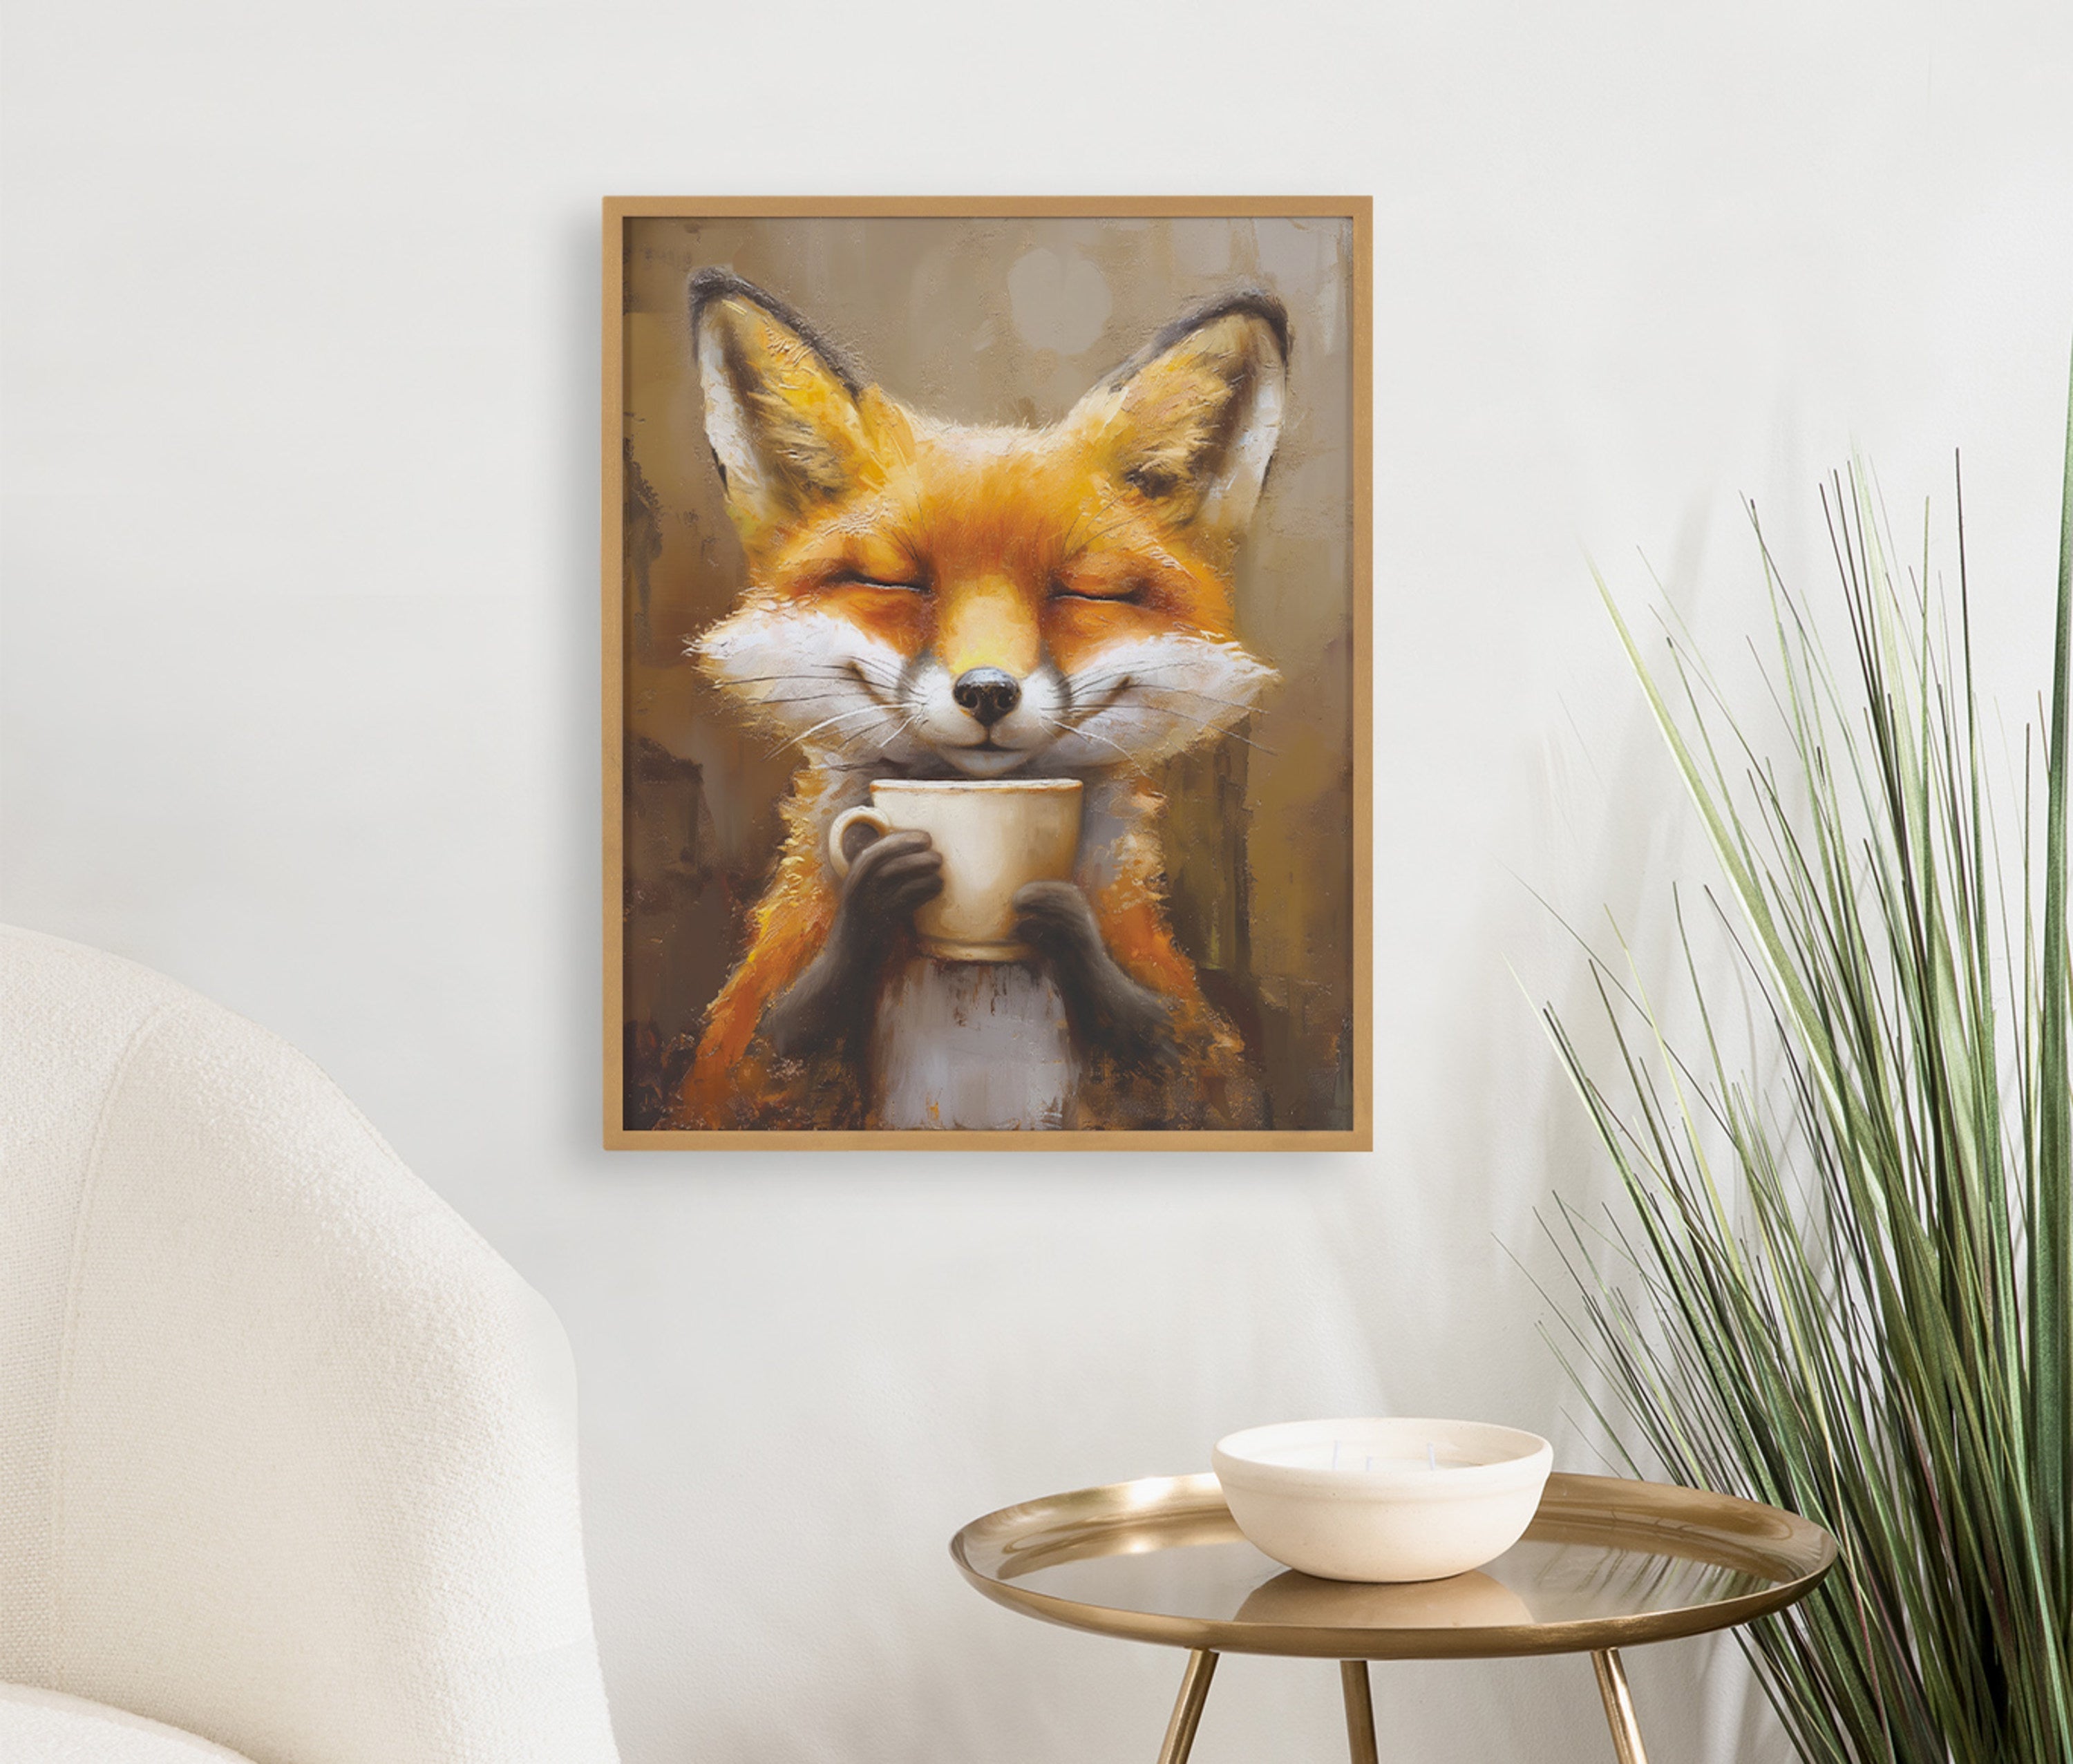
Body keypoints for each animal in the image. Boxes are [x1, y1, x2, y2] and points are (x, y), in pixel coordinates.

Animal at [665, 268, 1289, 1132]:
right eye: (897, 583)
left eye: (1082, 591)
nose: (987, 692)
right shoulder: (733, 1080)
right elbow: (770, 1056)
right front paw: (873, 900)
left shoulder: (1202, 1078)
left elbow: (1176, 1061)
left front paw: (1065, 923)